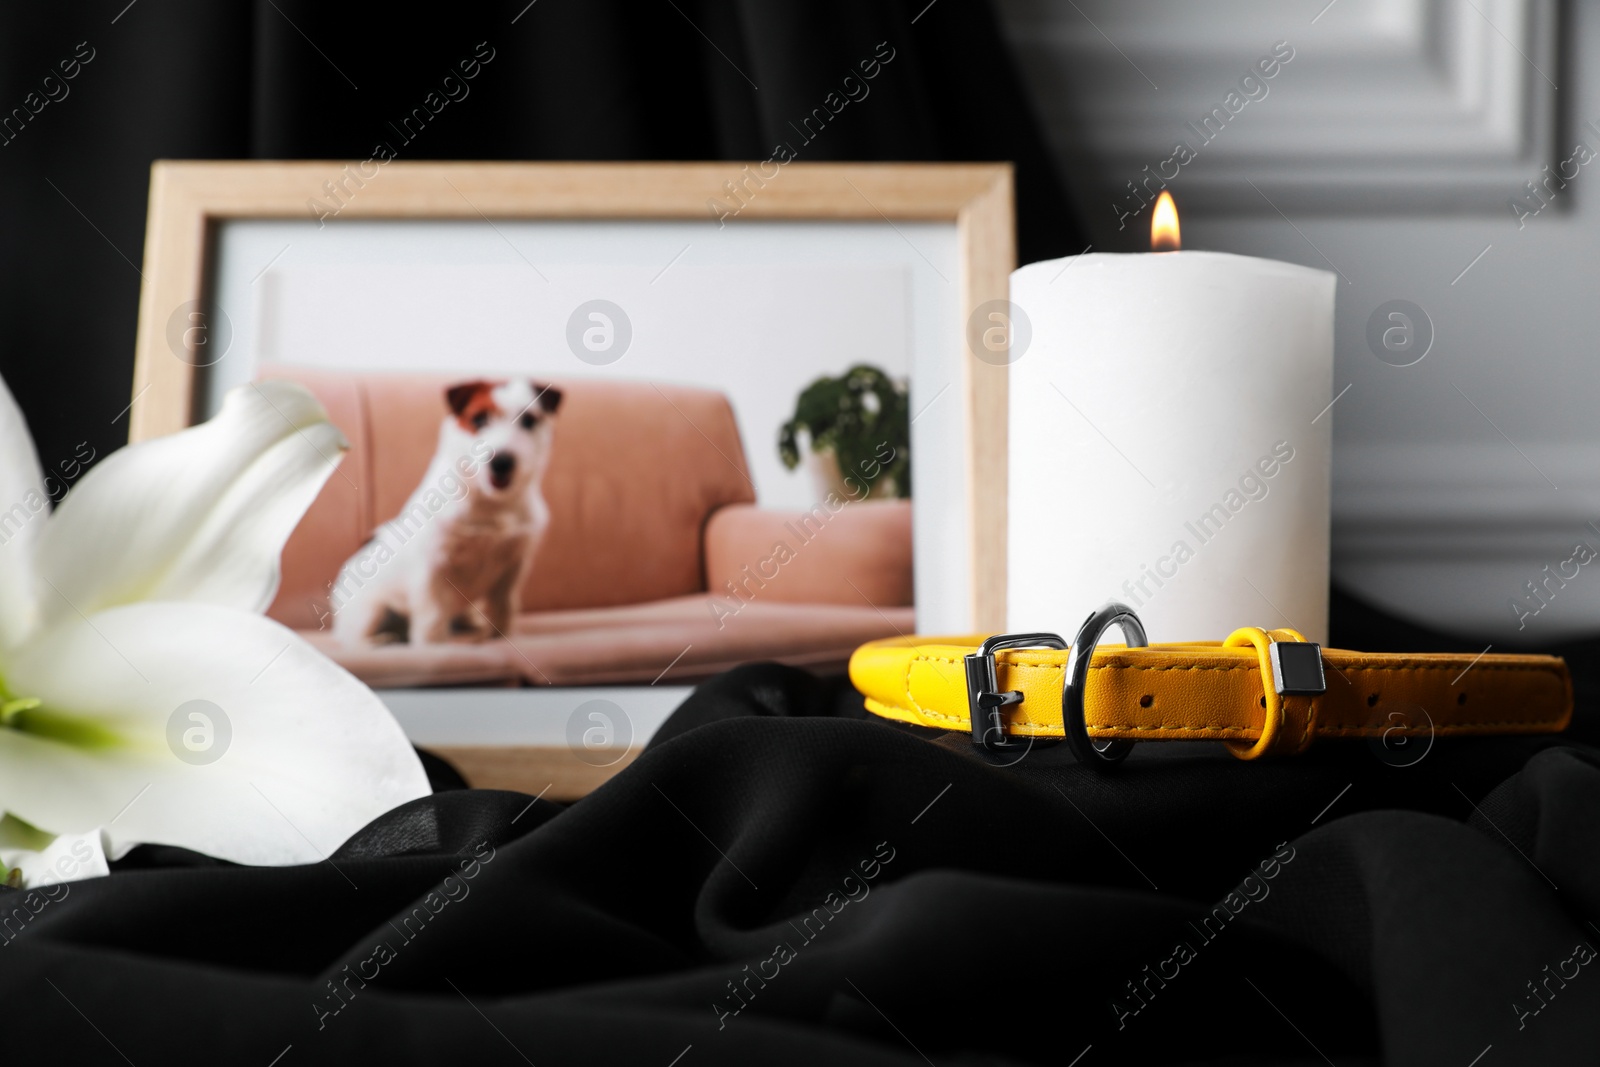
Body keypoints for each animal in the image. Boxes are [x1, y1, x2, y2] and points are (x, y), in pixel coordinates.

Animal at [331, 379, 563, 646]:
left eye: (529, 421)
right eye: (479, 419)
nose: (502, 462)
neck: (489, 502)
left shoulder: (513, 566)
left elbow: (503, 606)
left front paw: (502, 636)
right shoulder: (433, 564)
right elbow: (432, 615)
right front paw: (433, 646)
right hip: (371, 609)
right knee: (350, 635)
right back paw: (378, 640)